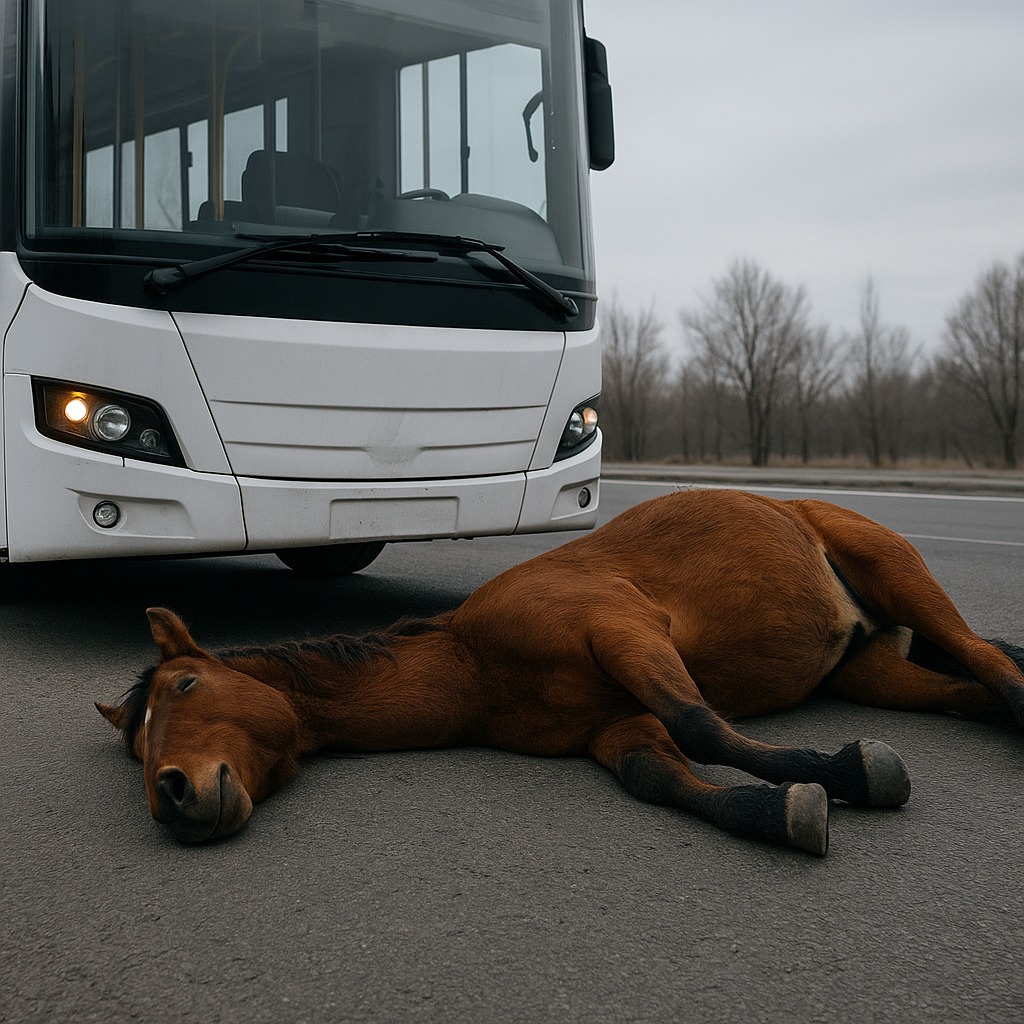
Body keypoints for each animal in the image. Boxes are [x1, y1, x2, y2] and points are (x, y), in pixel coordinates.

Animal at [96, 488, 1024, 855]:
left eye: (186, 686)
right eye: (139, 749)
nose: (172, 794)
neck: (478, 665)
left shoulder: (624, 633)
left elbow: (703, 727)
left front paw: (842, 772)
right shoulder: (614, 725)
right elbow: (665, 778)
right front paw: (782, 811)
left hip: (897, 569)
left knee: (984, 658)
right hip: (867, 669)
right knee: (966, 686)